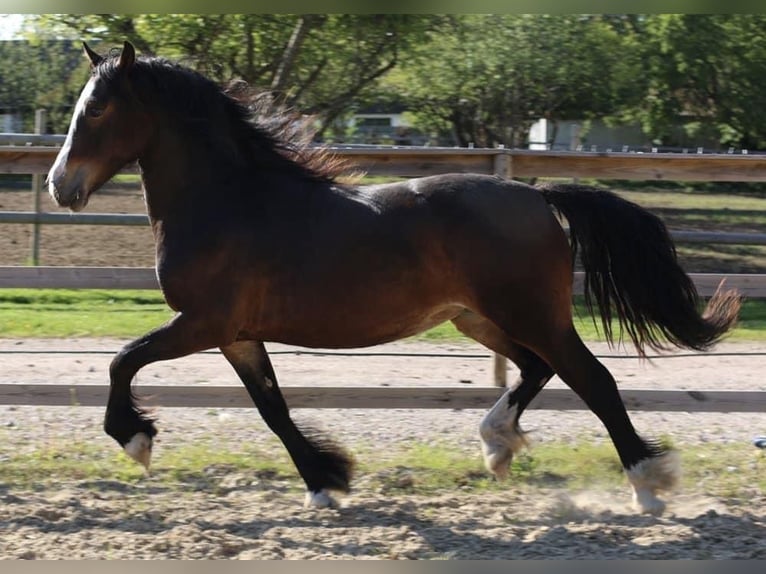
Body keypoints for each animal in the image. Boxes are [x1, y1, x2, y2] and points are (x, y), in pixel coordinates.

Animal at [45, 42, 740, 516]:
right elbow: (272, 407)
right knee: (536, 369)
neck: (228, 201)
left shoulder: (202, 323)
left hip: (531, 313)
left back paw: (647, 488)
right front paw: (325, 482)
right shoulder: (236, 335)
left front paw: (136, 439)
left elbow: (123, 360)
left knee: (592, 379)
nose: (60, 186)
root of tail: (536, 196)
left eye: (97, 109)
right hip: (479, 317)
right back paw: (497, 445)